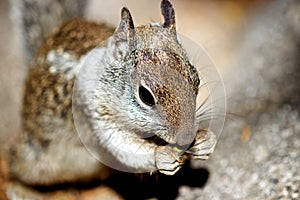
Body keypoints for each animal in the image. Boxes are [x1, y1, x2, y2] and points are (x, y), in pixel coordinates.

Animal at [8, 0, 217, 185]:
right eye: (146, 96)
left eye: (197, 80)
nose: (186, 136)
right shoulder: (95, 111)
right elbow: (120, 144)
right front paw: (161, 154)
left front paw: (205, 140)